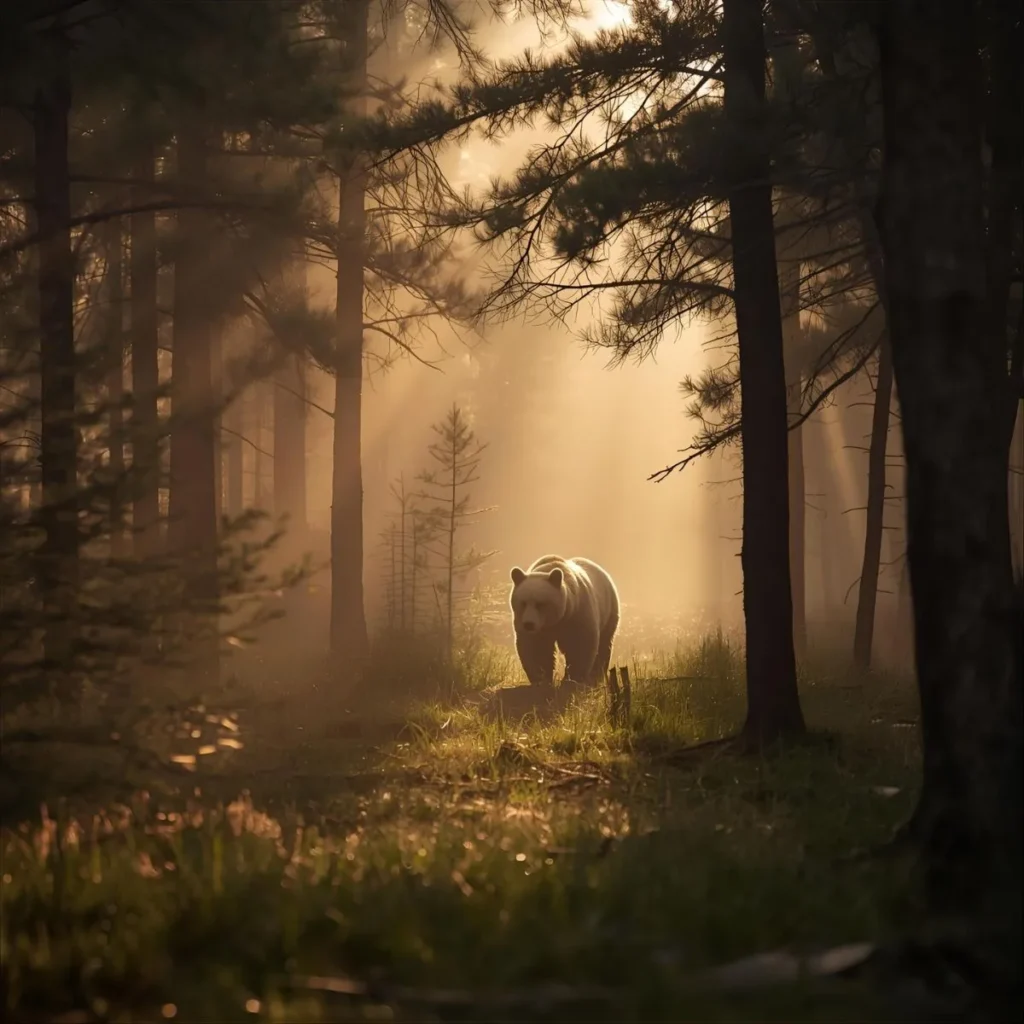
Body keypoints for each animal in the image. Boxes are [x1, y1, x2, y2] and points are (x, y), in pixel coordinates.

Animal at [509, 554, 620, 688]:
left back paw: (595, 678)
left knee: (604, 644)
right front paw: (542, 680)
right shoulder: (535, 626)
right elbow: (535, 647)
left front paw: (571, 680)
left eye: (540, 604)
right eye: (523, 603)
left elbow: (579, 644)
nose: (529, 624)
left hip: (609, 609)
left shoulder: (576, 613)